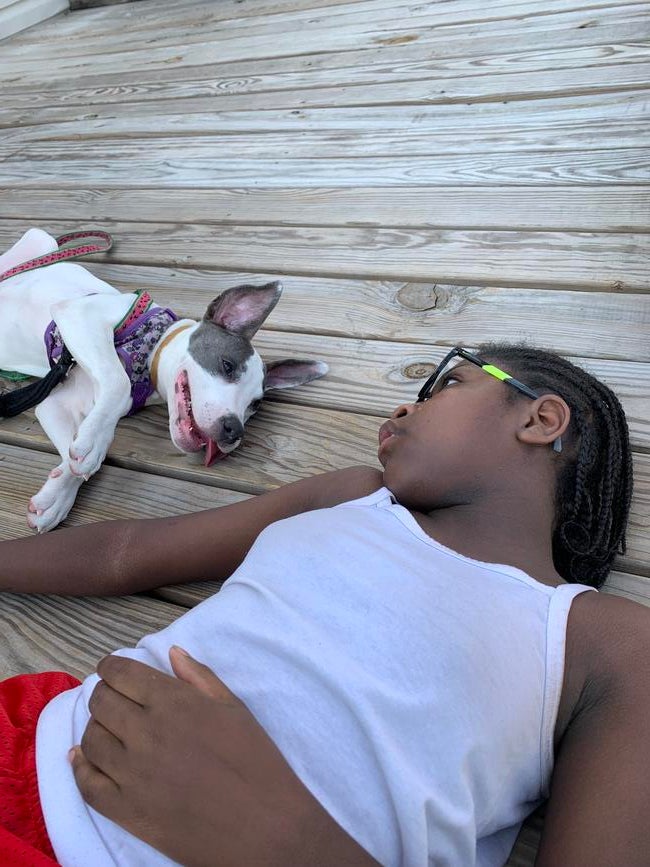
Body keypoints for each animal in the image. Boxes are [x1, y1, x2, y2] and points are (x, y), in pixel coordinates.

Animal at [0, 228, 327, 533]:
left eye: (254, 406)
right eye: (227, 365)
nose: (235, 430)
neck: (147, 348)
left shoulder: (55, 404)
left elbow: (76, 452)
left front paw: (57, 496)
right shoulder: (78, 314)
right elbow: (118, 383)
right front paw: (93, 443)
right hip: (40, 239)